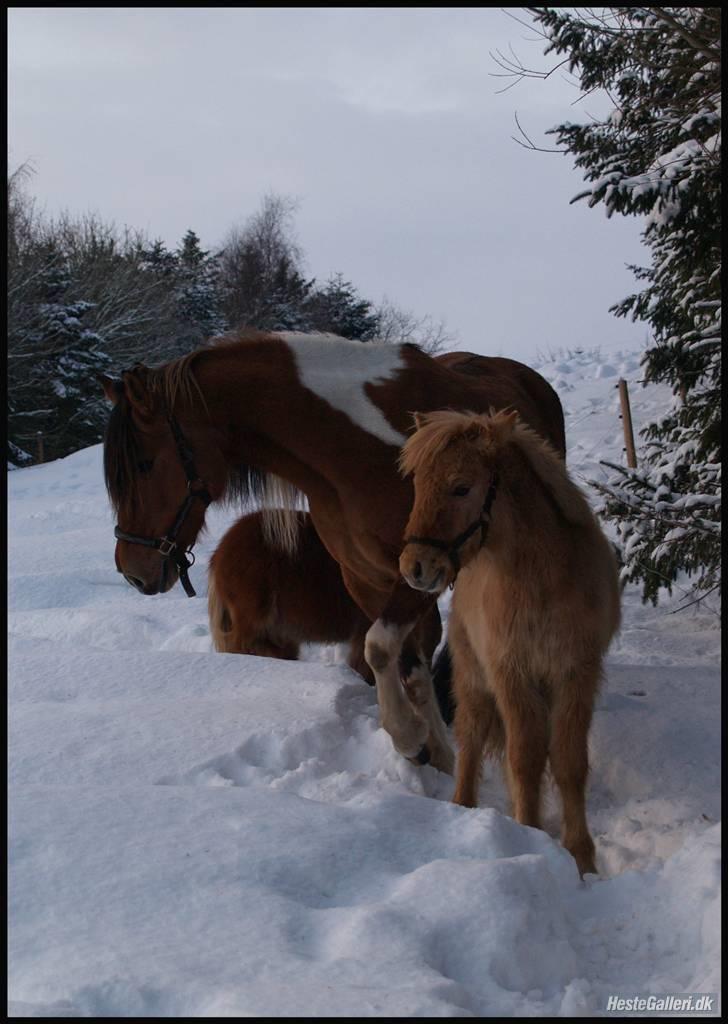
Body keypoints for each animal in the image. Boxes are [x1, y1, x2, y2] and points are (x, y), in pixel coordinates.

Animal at [100, 331, 565, 770]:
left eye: (143, 464)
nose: (132, 568)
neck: (355, 451)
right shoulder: (368, 577)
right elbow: (402, 660)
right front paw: (429, 748)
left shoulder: (427, 568)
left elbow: (379, 647)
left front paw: (409, 736)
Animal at [399, 407, 622, 872]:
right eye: (417, 485)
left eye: (461, 487)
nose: (415, 567)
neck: (542, 582)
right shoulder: (510, 674)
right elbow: (525, 758)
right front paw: (531, 835)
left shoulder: (576, 673)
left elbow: (569, 761)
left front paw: (581, 856)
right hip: (474, 680)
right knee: (470, 738)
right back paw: (462, 806)